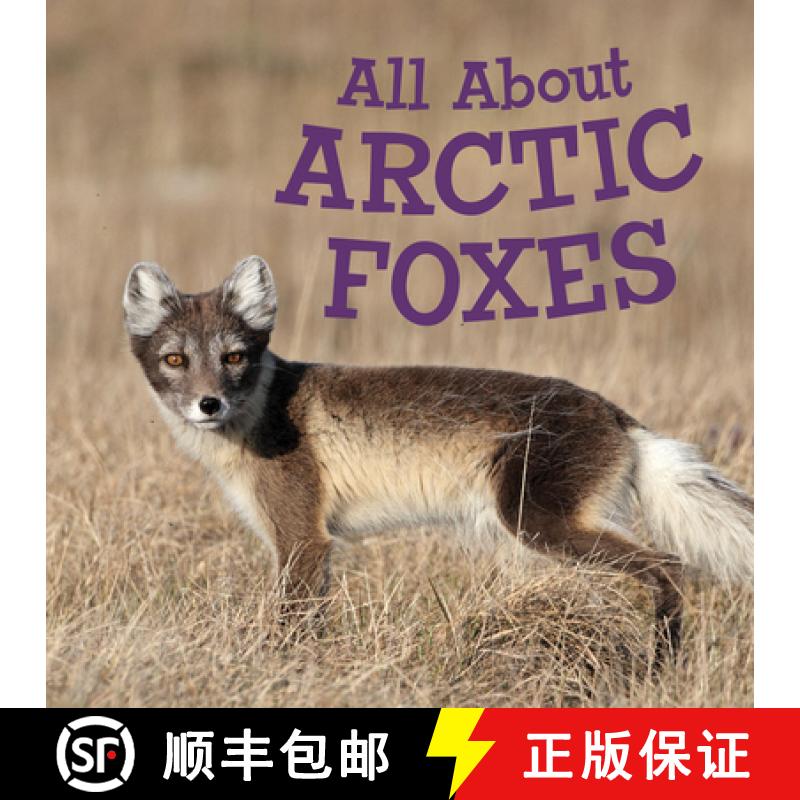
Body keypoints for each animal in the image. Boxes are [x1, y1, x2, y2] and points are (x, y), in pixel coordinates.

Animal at [123, 255, 754, 664]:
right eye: (176, 359)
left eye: (234, 357)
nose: (209, 404)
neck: (261, 412)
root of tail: (615, 412)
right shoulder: (308, 544)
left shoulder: (303, 539)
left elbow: (293, 626)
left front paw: (281, 669)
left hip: (538, 523)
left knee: (669, 564)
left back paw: (663, 664)